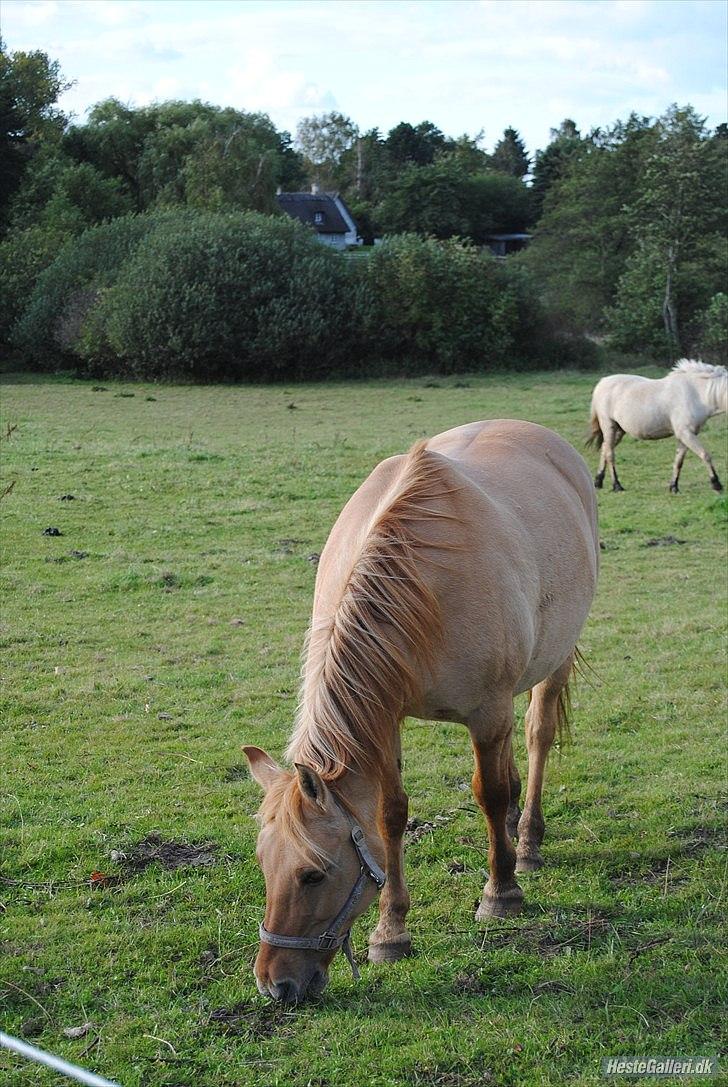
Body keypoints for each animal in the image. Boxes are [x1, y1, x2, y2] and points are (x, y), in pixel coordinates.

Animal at [245, 417, 599, 1000]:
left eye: (313, 874)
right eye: (262, 864)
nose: (276, 985)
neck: (420, 584)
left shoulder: (486, 712)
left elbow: (487, 792)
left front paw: (501, 893)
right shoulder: (385, 718)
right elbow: (390, 816)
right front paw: (391, 932)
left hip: (554, 661)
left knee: (536, 736)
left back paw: (525, 841)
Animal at [591, 356, 725, 493]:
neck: (695, 393)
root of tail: (602, 382)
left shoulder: (686, 435)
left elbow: (679, 461)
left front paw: (674, 487)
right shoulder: (686, 434)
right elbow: (705, 455)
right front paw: (716, 484)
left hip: (619, 430)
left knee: (605, 448)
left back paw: (598, 481)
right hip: (609, 426)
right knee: (609, 453)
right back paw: (616, 485)